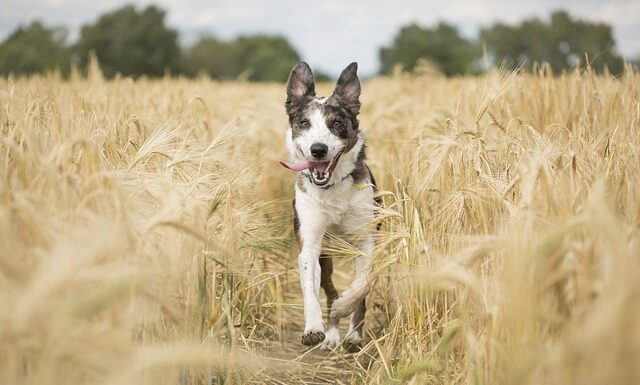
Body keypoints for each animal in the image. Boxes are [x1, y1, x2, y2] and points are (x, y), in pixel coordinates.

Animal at [280, 61, 380, 350]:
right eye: (304, 123)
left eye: (336, 123)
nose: (318, 150)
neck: (332, 189)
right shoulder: (311, 244)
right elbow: (309, 288)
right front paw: (314, 328)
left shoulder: (366, 240)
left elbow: (362, 284)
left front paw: (345, 308)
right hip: (326, 256)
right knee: (327, 287)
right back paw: (332, 333)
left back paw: (353, 333)